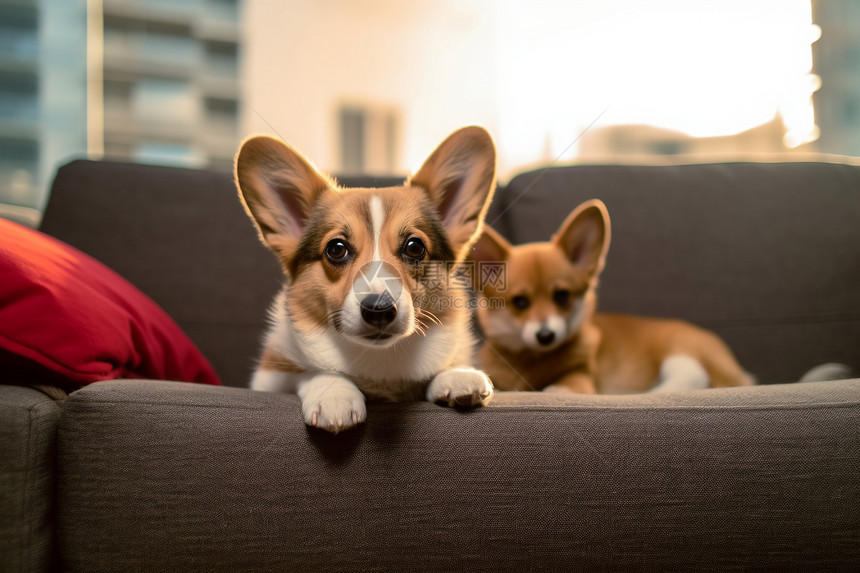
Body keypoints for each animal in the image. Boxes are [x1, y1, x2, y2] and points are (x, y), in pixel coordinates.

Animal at [235, 127, 498, 432]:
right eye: (336, 249)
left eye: (414, 247)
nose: (379, 309)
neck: (378, 360)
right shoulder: (271, 375)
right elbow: (308, 373)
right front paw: (335, 394)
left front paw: (457, 374)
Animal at [470, 198, 752, 394]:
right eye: (520, 302)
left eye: (562, 296)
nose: (546, 336)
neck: (531, 360)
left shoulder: (581, 375)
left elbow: (561, 386)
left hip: (680, 353)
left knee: (691, 377)